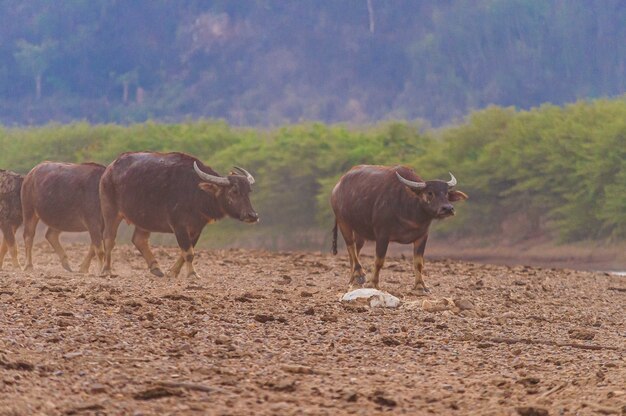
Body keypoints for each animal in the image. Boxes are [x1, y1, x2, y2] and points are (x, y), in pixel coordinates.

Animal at [98, 151, 258, 278]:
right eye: (234, 191)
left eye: (248, 191)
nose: (252, 215)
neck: (196, 192)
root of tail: (109, 169)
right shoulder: (179, 226)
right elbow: (188, 252)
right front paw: (192, 274)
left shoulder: (196, 229)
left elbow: (187, 251)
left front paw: (172, 272)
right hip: (110, 211)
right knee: (109, 239)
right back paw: (106, 270)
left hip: (144, 219)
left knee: (139, 240)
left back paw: (156, 268)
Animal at [330, 164, 466, 294]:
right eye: (430, 192)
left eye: (446, 193)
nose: (447, 208)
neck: (410, 210)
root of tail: (337, 188)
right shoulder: (382, 235)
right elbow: (379, 261)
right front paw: (373, 283)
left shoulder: (422, 236)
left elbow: (419, 263)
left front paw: (420, 286)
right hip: (343, 222)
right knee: (350, 247)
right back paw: (359, 275)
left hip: (360, 230)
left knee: (355, 250)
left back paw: (353, 279)